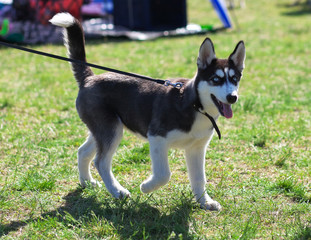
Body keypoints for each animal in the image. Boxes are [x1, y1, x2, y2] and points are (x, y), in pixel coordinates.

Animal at [50, 12, 246, 210]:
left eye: (234, 79)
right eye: (216, 79)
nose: (232, 97)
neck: (195, 105)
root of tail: (89, 78)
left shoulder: (196, 148)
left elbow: (199, 178)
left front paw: (205, 202)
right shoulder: (157, 137)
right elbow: (164, 174)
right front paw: (146, 187)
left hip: (104, 129)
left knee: (83, 152)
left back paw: (87, 183)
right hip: (111, 130)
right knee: (101, 161)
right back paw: (117, 191)